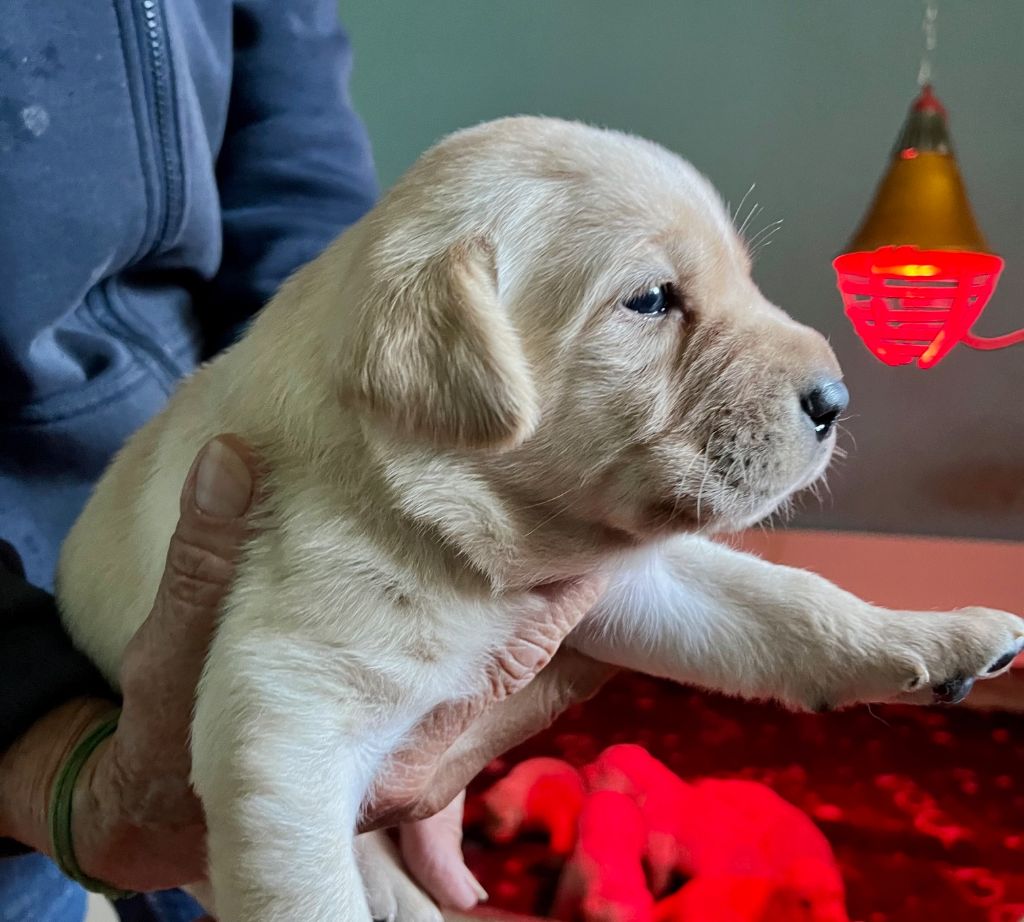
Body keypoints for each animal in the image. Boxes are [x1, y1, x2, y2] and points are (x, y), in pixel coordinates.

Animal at [58, 117, 1024, 922]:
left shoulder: (629, 579)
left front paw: (940, 638)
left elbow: (790, 606)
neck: (465, 536)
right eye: (651, 300)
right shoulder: (279, 712)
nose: (836, 401)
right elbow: (307, 886)